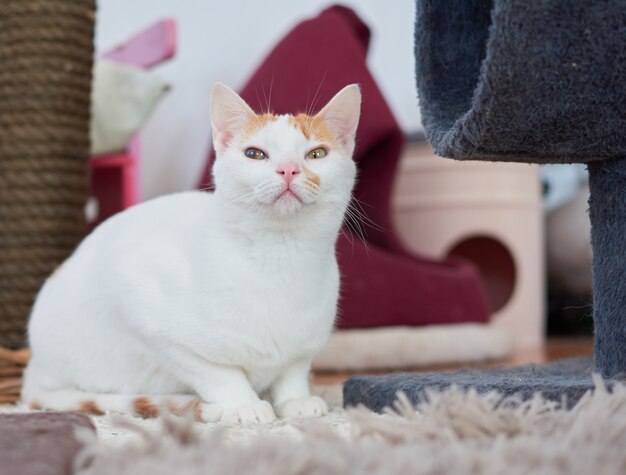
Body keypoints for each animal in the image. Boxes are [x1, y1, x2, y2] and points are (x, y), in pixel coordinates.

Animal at [20, 82, 360, 424]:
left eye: (317, 154)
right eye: (254, 154)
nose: (288, 169)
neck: (280, 255)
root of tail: (32, 371)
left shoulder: (305, 348)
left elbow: (293, 370)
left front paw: (295, 400)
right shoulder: (143, 309)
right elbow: (219, 373)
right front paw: (243, 405)